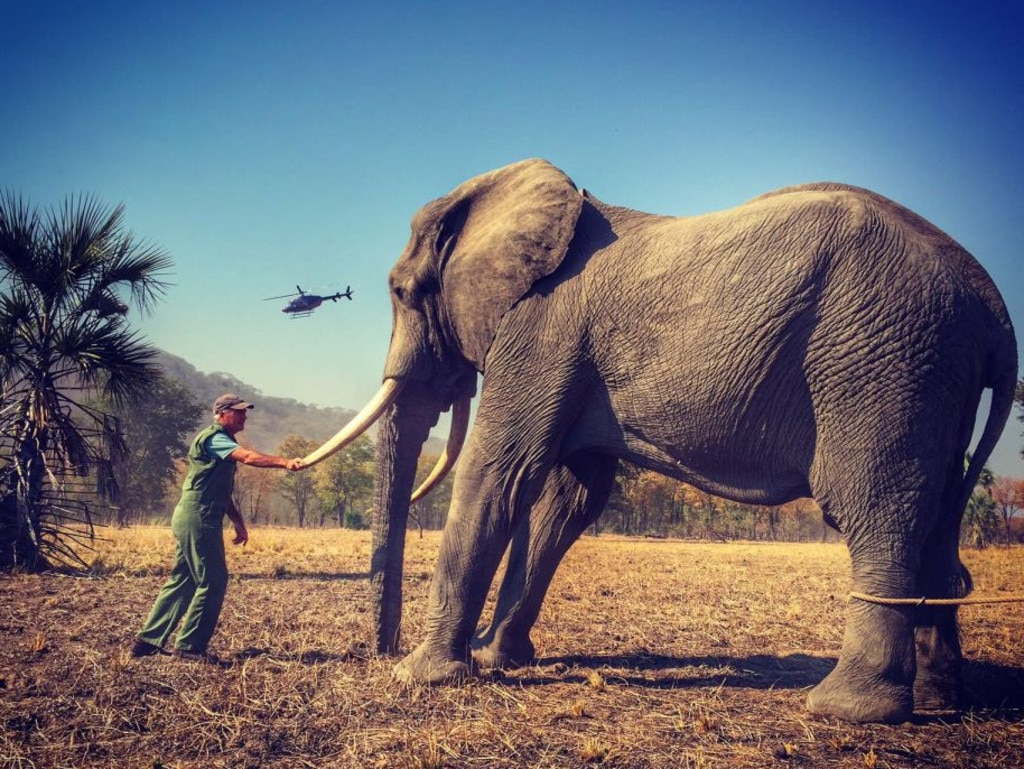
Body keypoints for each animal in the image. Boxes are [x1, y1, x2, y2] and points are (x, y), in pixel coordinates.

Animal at [303, 156, 1015, 720]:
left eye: (402, 292)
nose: (379, 650)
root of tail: (992, 305)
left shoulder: (542, 329)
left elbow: (500, 472)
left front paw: (425, 676)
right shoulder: (567, 351)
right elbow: (569, 499)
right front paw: (501, 659)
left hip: (884, 367)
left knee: (875, 515)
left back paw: (846, 710)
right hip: (931, 378)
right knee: (938, 524)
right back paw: (941, 701)